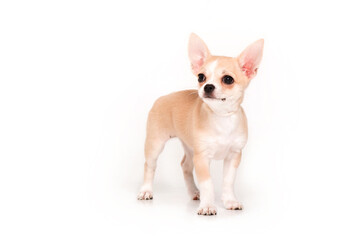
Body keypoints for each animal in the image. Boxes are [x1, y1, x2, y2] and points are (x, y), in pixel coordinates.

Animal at [136, 33, 262, 216]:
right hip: (155, 144)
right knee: (149, 165)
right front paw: (208, 205)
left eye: (228, 79)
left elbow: (228, 182)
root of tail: (162, 97)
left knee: (185, 166)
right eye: (201, 77)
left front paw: (230, 201)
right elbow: (208, 184)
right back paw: (146, 190)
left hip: (189, 147)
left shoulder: (233, 156)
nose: (207, 86)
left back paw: (193, 192)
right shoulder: (202, 157)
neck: (221, 117)